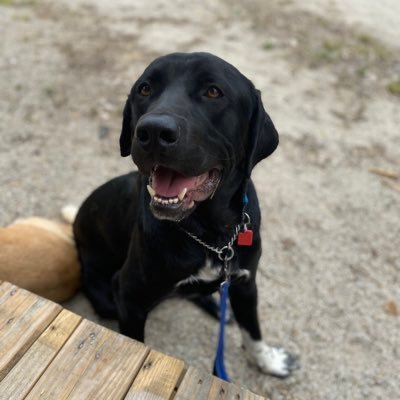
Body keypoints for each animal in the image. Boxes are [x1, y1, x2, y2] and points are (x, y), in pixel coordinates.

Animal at [72, 51, 296, 376]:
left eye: (213, 92)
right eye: (144, 89)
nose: (153, 131)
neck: (211, 235)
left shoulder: (245, 283)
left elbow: (253, 331)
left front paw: (268, 361)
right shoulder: (129, 296)